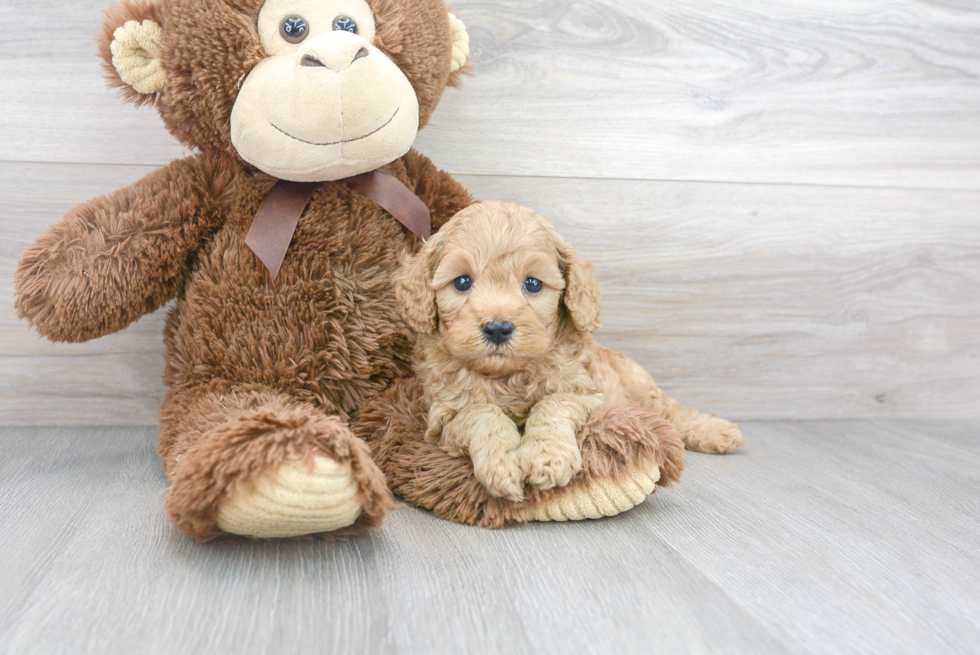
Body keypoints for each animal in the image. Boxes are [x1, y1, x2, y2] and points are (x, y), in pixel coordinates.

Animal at [394, 202, 740, 500]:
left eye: (533, 284)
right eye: (462, 282)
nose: (497, 328)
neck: (507, 375)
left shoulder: (588, 396)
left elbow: (553, 403)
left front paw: (547, 458)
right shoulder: (443, 419)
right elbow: (482, 414)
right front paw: (502, 464)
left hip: (642, 390)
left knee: (673, 412)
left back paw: (717, 433)